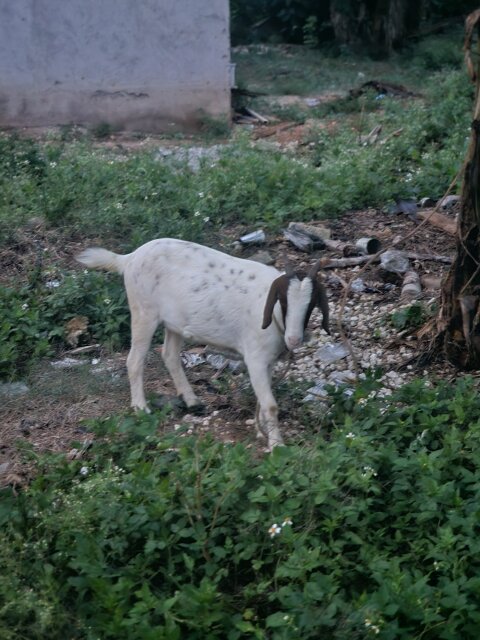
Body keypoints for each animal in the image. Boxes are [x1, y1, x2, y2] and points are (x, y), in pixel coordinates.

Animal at [76, 238, 329, 449]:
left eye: (311, 305)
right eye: (283, 302)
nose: (294, 339)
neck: (272, 315)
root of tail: (129, 258)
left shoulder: (267, 362)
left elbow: (262, 399)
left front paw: (261, 432)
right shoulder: (255, 358)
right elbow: (270, 404)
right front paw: (277, 445)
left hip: (173, 323)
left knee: (169, 355)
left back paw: (192, 401)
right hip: (143, 312)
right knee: (134, 360)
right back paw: (141, 408)